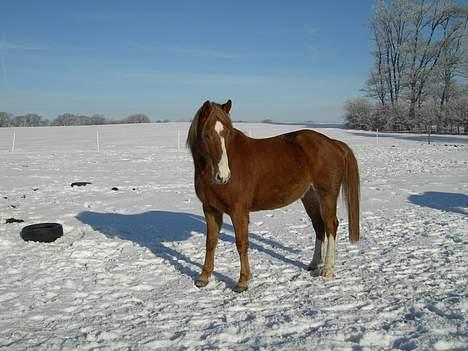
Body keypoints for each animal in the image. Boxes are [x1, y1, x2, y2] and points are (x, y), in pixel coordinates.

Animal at [185, 99, 360, 294]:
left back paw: (328, 269)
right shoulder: (210, 209)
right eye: (206, 135)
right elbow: (210, 242)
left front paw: (243, 281)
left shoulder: (239, 212)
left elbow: (241, 243)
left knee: (331, 226)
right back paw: (314, 264)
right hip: (310, 197)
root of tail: (333, 143)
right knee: (319, 226)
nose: (223, 176)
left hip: (326, 195)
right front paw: (203, 277)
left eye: (228, 134)